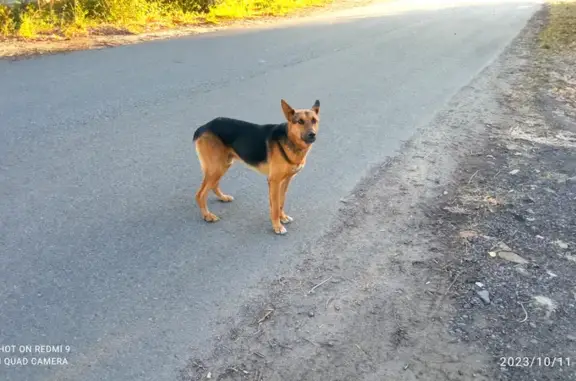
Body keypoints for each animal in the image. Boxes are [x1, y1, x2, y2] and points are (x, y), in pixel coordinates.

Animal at [192, 98, 320, 235]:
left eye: (314, 120)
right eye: (300, 121)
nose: (312, 134)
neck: (290, 139)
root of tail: (204, 126)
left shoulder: (285, 181)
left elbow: (281, 202)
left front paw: (282, 217)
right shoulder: (274, 181)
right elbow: (275, 206)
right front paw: (277, 226)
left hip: (223, 165)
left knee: (213, 185)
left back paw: (223, 197)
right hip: (217, 168)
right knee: (200, 194)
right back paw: (207, 215)